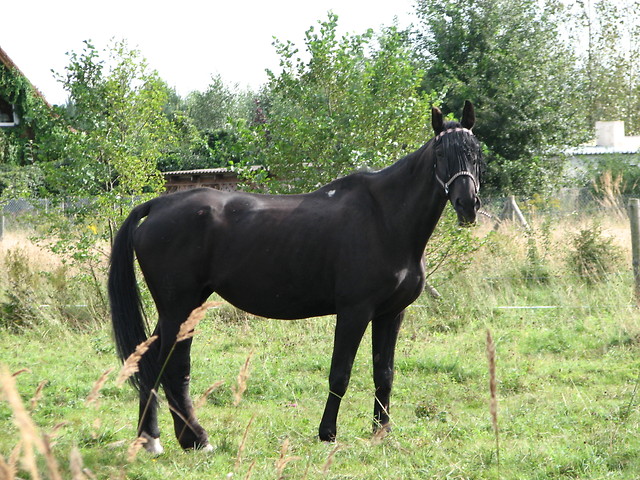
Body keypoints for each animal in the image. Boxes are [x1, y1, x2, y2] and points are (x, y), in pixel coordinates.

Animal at [109, 101, 480, 454]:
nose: (468, 204)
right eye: (441, 154)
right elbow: (340, 374)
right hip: (179, 307)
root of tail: (157, 205)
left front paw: (381, 432)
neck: (384, 218)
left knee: (153, 361)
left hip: (182, 307)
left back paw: (157, 438)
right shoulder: (355, 312)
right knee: (169, 366)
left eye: (476, 152)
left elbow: (384, 373)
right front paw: (328, 433)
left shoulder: (391, 314)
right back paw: (189, 438)